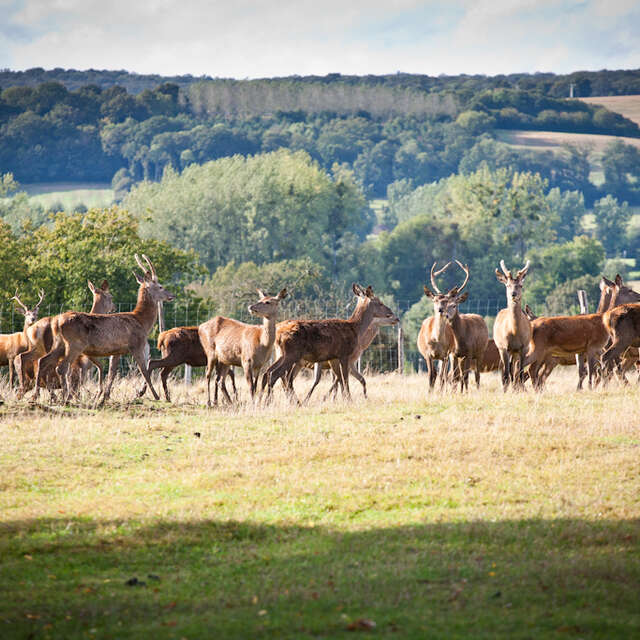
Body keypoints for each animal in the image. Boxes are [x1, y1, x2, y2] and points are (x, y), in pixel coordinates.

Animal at [33, 255, 173, 405]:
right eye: (160, 286)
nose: (172, 295)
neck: (141, 321)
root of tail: (57, 322)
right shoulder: (136, 345)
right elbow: (144, 371)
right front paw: (155, 396)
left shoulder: (117, 350)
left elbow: (112, 373)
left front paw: (104, 398)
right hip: (75, 344)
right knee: (62, 367)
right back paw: (65, 398)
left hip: (59, 344)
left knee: (43, 361)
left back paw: (37, 396)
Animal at [261, 284, 398, 402]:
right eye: (380, 303)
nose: (394, 316)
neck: (355, 329)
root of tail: (278, 334)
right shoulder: (344, 354)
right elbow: (344, 379)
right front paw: (348, 400)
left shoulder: (334, 358)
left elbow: (340, 380)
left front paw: (341, 399)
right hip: (292, 354)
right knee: (276, 374)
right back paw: (271, 401)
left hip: (282, 354)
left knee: (269, 372)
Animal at [417, 262, 456, 391]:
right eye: (435, 300)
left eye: (446, 301)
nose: (440, 309)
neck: (436, 340)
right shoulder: (428, 354)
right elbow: (430, 376)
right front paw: (429, 393)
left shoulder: (445, 355)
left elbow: (442, 377)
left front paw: (440, 392)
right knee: (435, 374)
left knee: (443, 375)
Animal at [493, 260, 531, 391]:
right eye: (508, 285)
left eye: (520, 285)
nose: (513, 294)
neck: (514, 332)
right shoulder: (504, 347)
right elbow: (505, 375)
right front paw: (505, 391)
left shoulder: (524, 347)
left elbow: (520, 373)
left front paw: (519, 390)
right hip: (501, 349)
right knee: (506, 371)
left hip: (515, 353)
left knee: (514, 373)